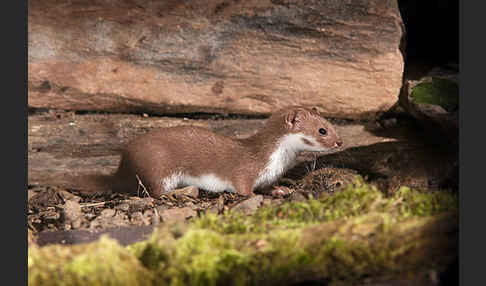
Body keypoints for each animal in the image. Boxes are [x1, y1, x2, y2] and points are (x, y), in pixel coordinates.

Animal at [75, 106, 342, 198]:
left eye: (331, 123)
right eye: (322, 130)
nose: (340, 142)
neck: (277, 161)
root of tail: (123, 165)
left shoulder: (267, 175)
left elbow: (268, 186)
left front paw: (281, 189)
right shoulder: (247, 170)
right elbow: (243, 187)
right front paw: (253, 195)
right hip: (158, 167)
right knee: (154, 192)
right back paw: (177, 193)